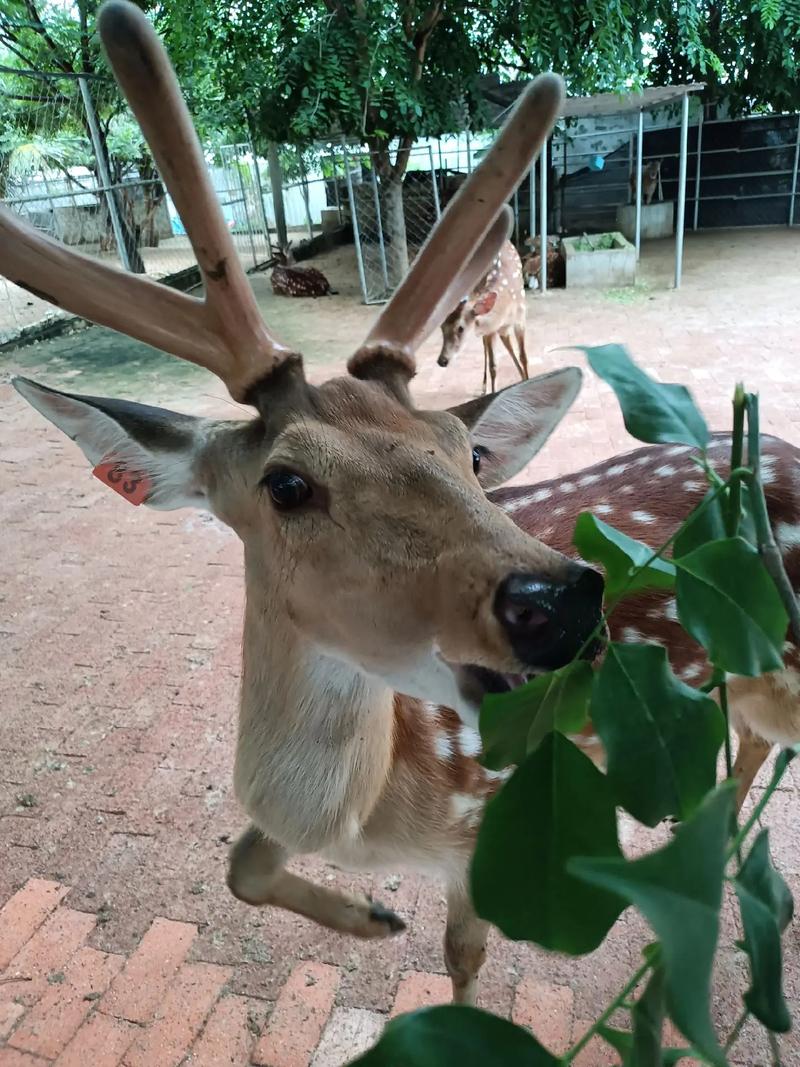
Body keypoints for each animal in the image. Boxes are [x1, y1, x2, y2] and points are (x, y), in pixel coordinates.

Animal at [437, 239, 528, 394]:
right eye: (441, 327)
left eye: (460, 328)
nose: (442, 360)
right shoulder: (492, 329)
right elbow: (493, 366)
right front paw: (493, 391)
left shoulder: (520, 318)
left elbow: (523, 357)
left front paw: (526, 379)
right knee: (486, 348)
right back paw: (484, 387)